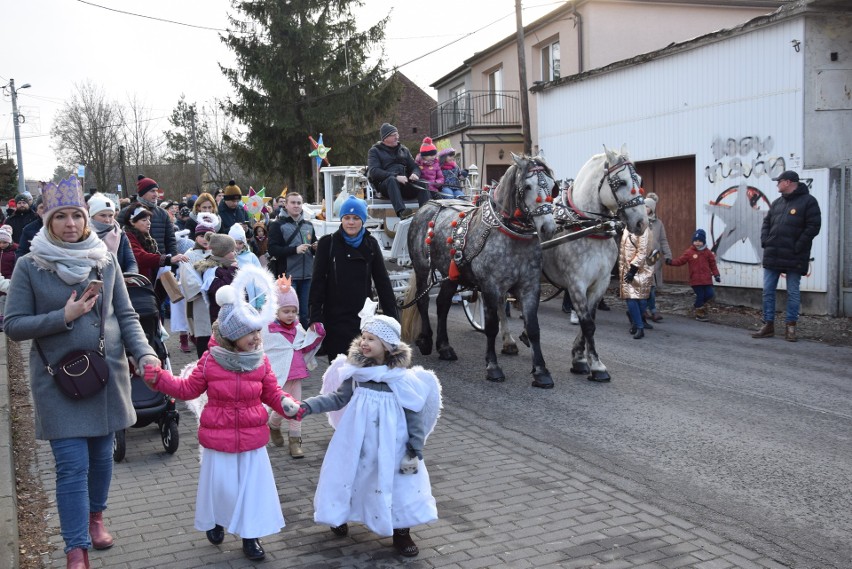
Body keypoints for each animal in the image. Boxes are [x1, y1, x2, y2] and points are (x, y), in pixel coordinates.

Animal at [404, 153, 560, 386]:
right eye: (528, 186)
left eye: (552, 186)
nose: (548, 228)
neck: (511, 235)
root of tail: (428, 205)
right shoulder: (490, 287)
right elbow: (492, 326)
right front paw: (493, 367)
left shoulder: (530, 286)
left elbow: (533, 328)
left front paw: (541, 372)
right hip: (422, 268)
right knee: (423, 301)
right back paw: (426, 340)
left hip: (450, 274)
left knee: (442, 304)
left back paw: (445, 347)